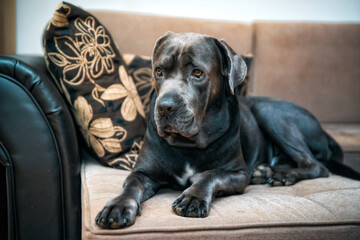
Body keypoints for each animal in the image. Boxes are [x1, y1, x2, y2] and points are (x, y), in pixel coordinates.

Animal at [95, 31, 360, 229]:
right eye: (159, 71)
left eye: (197, 73)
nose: (165, 107)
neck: (188, 144)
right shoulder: (143, 172)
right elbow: (130, 185)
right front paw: (117, 206)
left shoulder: (237, 173)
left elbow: (210, 174)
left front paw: (193, 197)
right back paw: (268, 171)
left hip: (271, 112)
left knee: (317, 166)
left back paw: (282, 175)